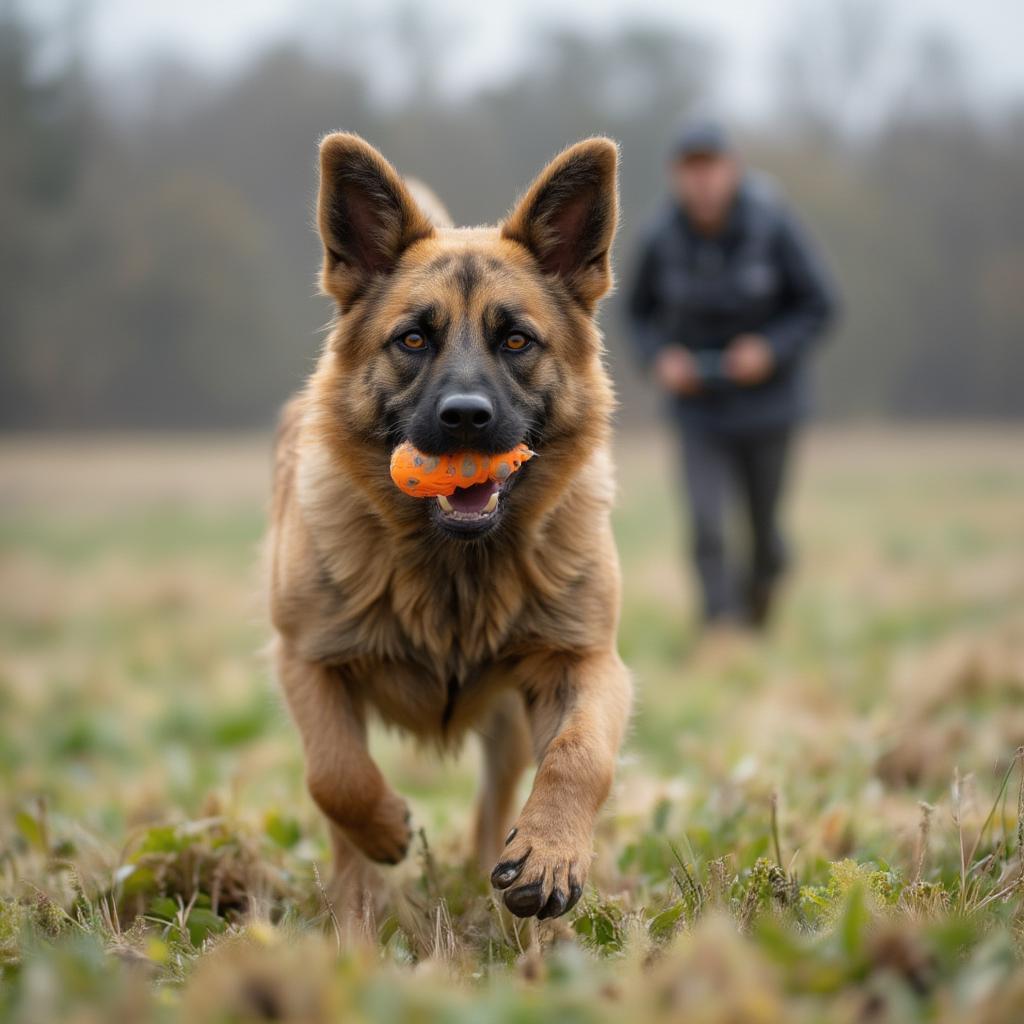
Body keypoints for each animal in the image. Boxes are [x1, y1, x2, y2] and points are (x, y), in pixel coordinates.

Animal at [268, 132, 626, 925]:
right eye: (412, 339)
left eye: (517, 341)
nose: (465, 418)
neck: (454, 570)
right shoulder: (309, 663)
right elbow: (334, 776)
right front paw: (384, 831)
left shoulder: (585, 663)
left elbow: (582, 755)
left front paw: (549, 854)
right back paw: (355, 907)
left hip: (512, 725)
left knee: (498, 799)